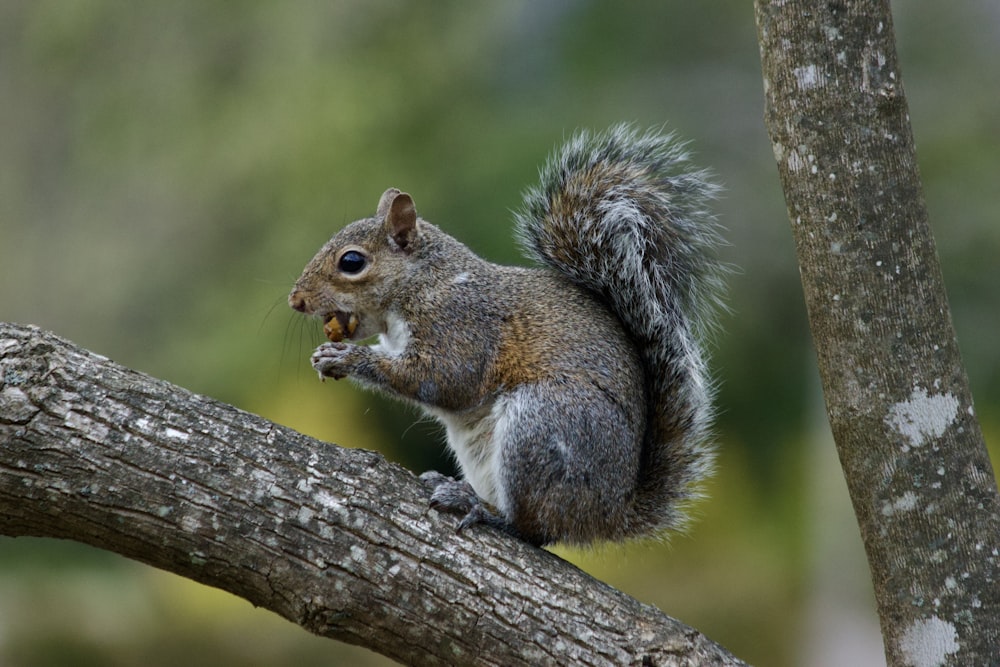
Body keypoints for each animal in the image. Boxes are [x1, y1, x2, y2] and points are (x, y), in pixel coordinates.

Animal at [290, 125, 728, 548]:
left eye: (351, 262)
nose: (296, 299)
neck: (423, 282)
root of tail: (609, 513)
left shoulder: (461, 326)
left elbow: (443, 379)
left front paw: (348, 359)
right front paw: (326, 354)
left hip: (543, 424)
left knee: (532, 529)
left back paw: (481, 509)